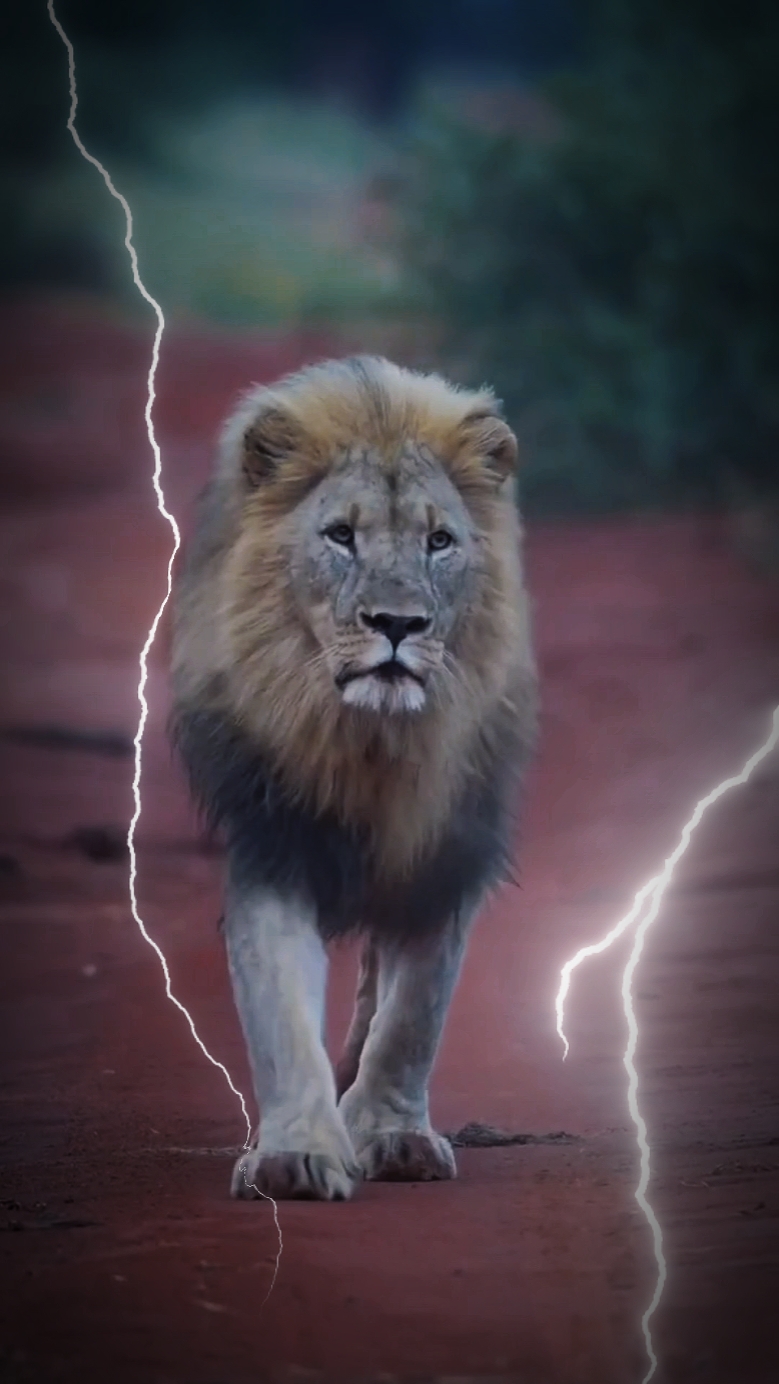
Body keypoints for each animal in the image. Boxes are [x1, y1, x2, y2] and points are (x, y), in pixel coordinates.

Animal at [170, 355, 537, 1201]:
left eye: (439, 541)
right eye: (340, 536)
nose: (397, 625)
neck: (371, 740)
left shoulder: (444, 854)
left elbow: (412, 1017)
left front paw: (392, 1134)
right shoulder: (272, 843)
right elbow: (278, 1013)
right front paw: (296, 1155)